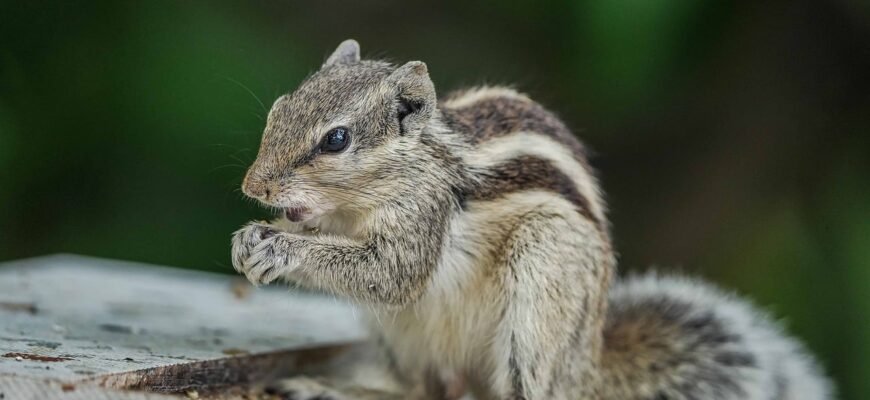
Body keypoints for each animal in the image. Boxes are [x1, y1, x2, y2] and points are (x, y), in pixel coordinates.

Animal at [231, 39, 833, 400]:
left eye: (336, 139)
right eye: (279, 108)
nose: (253, 187)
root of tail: (586, 367)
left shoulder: (423, 216)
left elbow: (391, 275)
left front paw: (279, 248)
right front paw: (251, 240)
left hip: (541, 289)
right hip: (397, 336)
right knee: (423, 389)